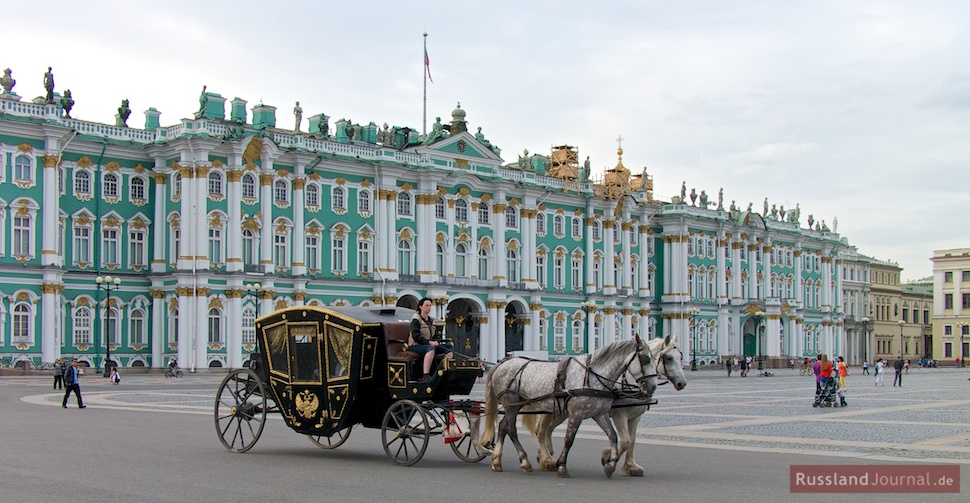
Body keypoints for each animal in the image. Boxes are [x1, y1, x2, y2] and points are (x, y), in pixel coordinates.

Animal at [478, 336, 656, 478]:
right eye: (646, 359)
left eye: (655, 359)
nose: (652, 387)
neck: (592, 376)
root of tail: (503, 363)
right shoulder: (577, 413)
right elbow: (569, 440)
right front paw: (562, 466)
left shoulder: (599, 413)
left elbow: (613, 436)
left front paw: (610, 464)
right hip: (511, 403)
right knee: (511, 429)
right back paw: (525, 462)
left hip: (516, 405)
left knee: (503, 427)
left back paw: (497, 461)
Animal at [520, 336, 688, 478]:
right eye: (668, 358)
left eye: (680, 357)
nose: (682, 383)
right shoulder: (620, 414)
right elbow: (625, 441)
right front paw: (607, 457)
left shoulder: (635, 416)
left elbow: (632, 440)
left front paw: (630, 466)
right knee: (541, 431)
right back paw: (546, 459)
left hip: (561, 412)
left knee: (547, 430)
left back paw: (546, 455)